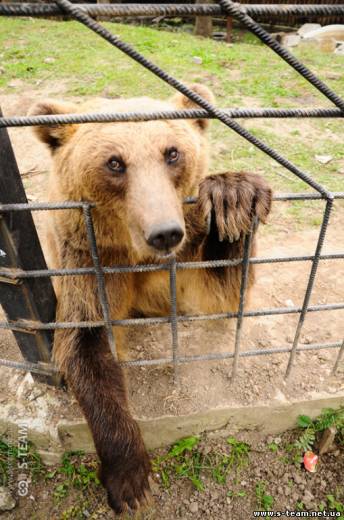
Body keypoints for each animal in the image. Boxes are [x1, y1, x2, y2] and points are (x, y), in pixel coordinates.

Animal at [29, 84, 272, 512]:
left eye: (171, 153)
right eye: (114, 163)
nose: (164, 232)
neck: (134, 253)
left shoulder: (188, 247)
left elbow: (221, 295)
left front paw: (234, 197)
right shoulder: (90, 258)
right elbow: (86, 342)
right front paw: (130, 479)